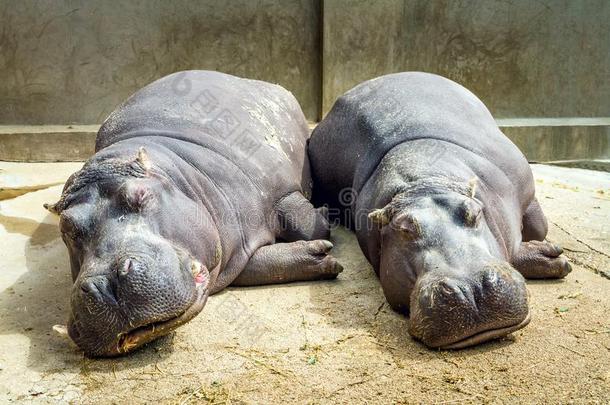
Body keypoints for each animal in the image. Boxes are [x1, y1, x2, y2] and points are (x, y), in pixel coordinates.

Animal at [46, 71, 342, 356]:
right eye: (66, 229)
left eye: (140, 195)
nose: (104, 286)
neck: (178, 174)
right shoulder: (232, 253)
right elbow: (257, 267)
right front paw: (321, 256)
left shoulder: (282, 193)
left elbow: (309, 225)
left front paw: (325, 221)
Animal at [308, 72, 568, 348]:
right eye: (405, 230)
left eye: (474, 212)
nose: (472, 288)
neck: (426, 181)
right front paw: (552, 256)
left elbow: (538, 227)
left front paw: (552, 254)